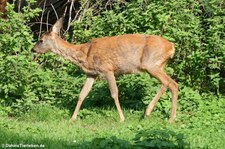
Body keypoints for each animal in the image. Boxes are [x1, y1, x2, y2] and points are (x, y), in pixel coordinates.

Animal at [32, 17, 178, 122]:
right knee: (171, 84)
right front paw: (72, 118)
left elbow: (114, 93)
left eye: (41, 40)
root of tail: (171, 47)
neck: (84, 53)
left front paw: (122, 118)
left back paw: (157, 115)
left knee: (169, 83)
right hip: (158, 65)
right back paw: (163, 116)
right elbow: (82, 94)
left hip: (151, 64)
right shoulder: (91, 74)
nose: (33, 49)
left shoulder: (107, 69)